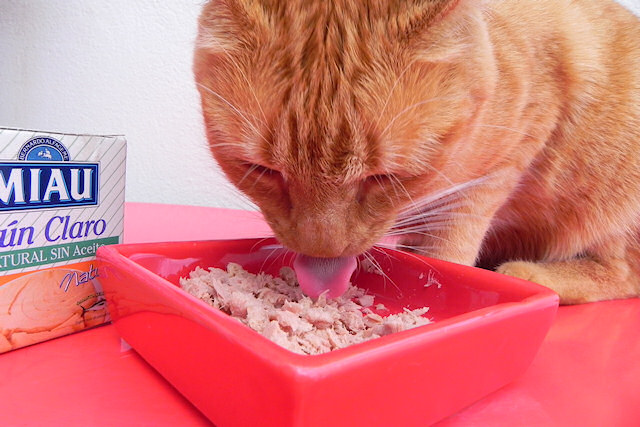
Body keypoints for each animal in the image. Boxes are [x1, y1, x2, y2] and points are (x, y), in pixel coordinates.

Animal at [193, 0, 640, 304]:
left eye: (385, 177)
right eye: (262, 170)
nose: (322, 251)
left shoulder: (511, 153)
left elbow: (451, 243)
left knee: (623, 271)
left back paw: (528, 275)